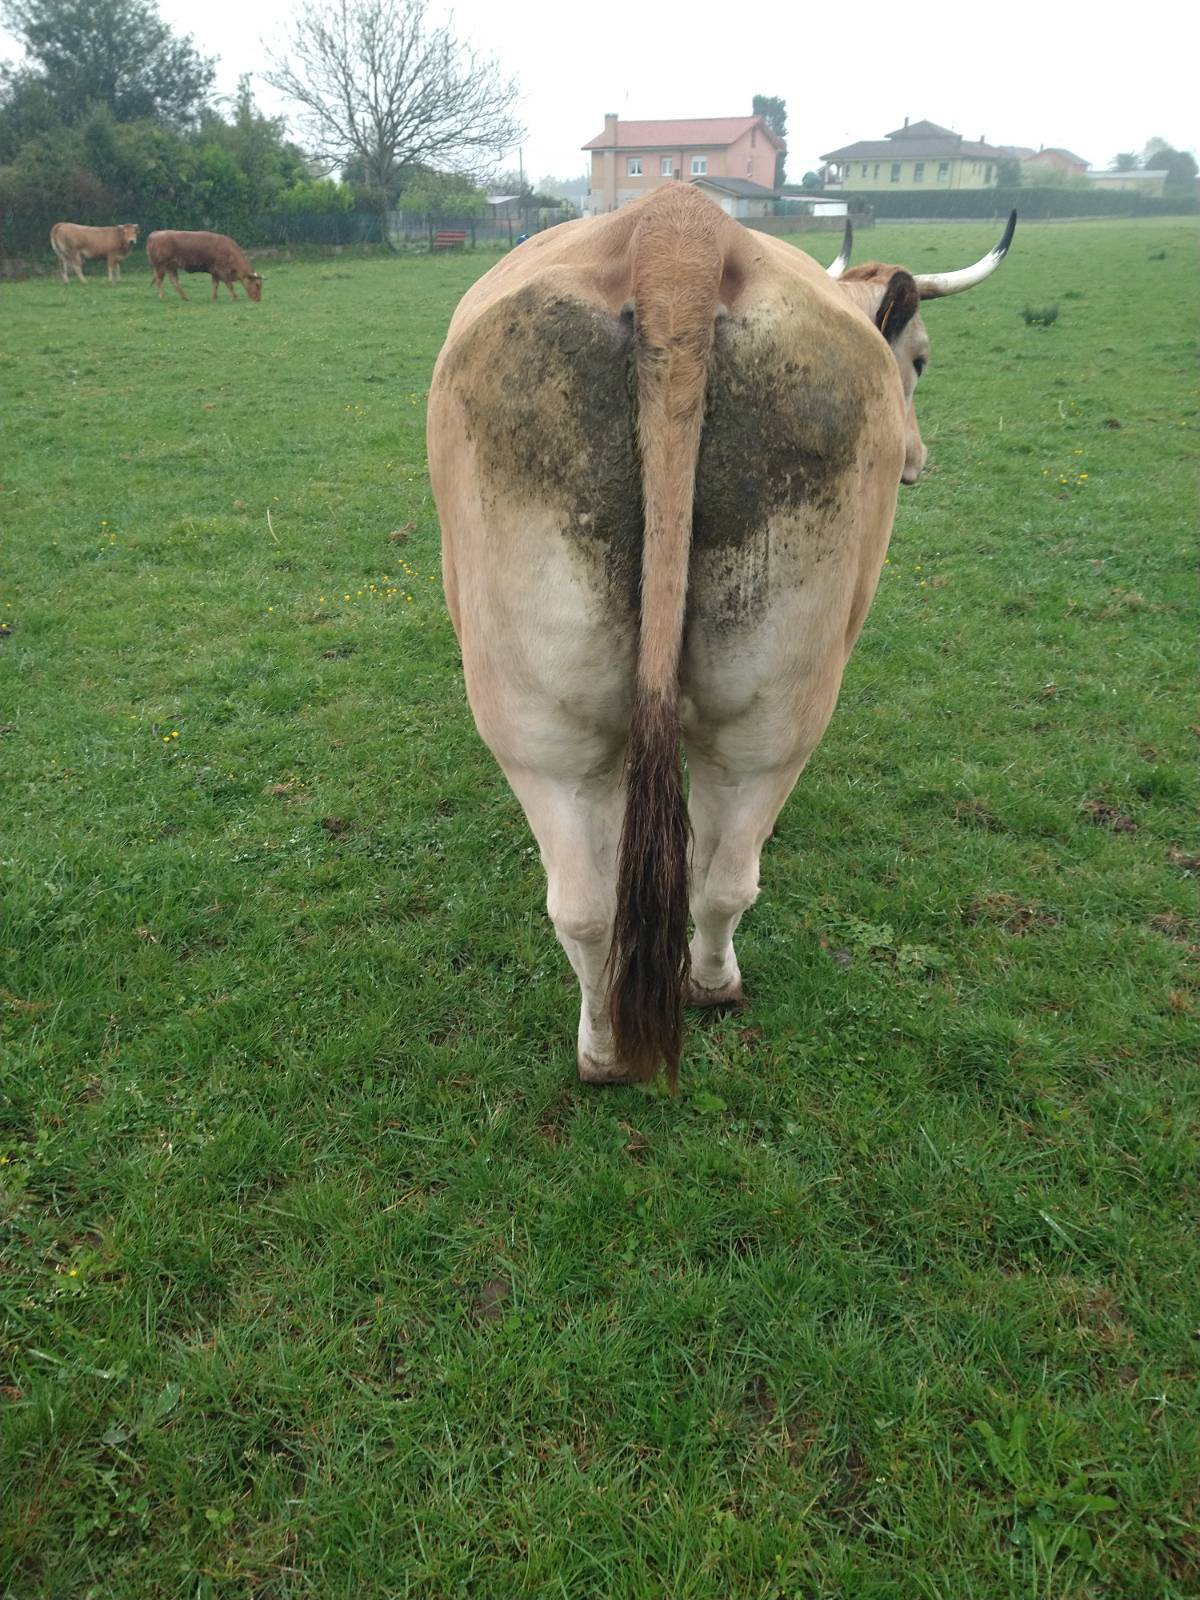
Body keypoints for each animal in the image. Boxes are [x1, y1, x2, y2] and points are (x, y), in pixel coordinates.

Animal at [427, 186, 1015, 1087]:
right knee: (716, 870)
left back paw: (612, 1046)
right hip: (758, 708)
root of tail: (676, 227)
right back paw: (700, 993)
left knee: (604, 902)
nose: (918, 460)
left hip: (554, 719)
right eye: (919, 360)